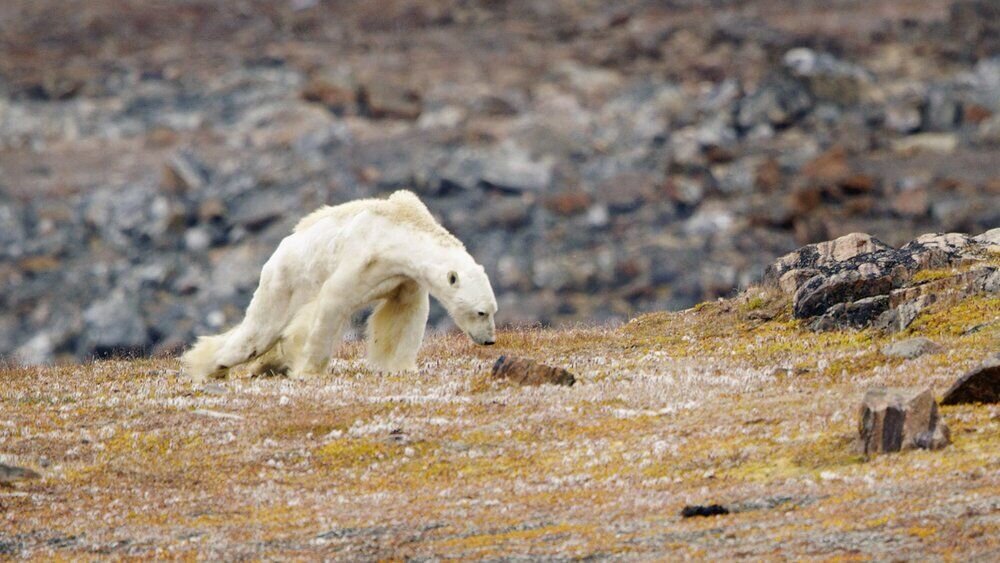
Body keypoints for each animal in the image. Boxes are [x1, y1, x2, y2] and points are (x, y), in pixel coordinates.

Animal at [181, 191, 500, 384]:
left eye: (493, 310)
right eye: (481, 312)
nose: (489, 341)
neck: (399, 229)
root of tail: (278, 251)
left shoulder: (403, 277)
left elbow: (403, 315)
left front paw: (401, 366)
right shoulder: (362, 257)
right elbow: (332, 303)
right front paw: (308, 370)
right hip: (284, 282)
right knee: (258, 333)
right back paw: (211, 366)